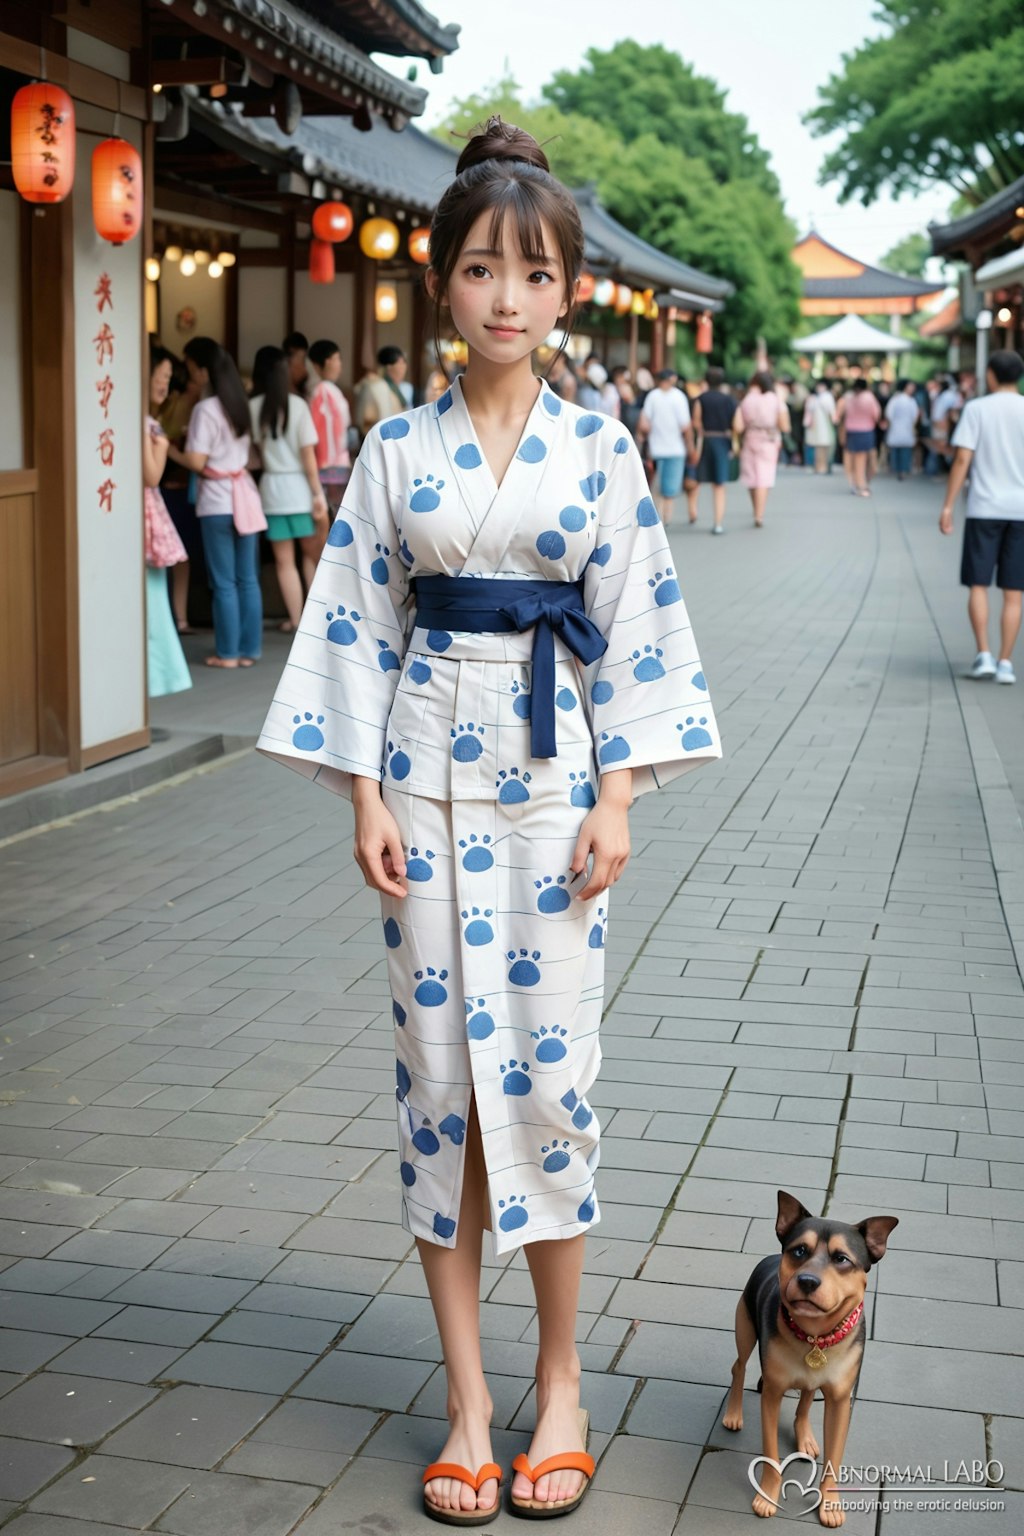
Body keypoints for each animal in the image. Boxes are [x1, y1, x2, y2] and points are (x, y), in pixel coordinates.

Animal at [721, 1185, 896, 1523]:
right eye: (799, 1251)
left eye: (841, 1258)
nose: (807, 1280)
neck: (816, 1335)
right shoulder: (772, 1392)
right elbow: (770, 1451)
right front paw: (767, 1496)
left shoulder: (841, 1401)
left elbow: (834, 1457)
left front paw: (829, 1505)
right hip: (744, 1326)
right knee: (739, 1366)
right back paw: (733, 1413)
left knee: (806, 1396)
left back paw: (805, 1436)